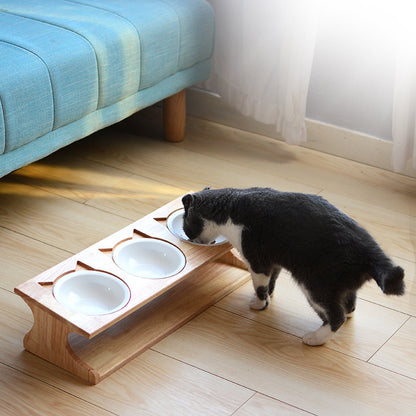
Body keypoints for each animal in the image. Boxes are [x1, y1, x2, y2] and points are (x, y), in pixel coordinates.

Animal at [180, 187, 404, 346]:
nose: (188, 238)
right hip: (340, 284)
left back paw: (315, 338)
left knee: (336, 316)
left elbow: (259, 286)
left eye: (185, 227)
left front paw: (259, 305)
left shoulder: (257, 261)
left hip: (316, 286)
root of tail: (371, 252)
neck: (230, 207)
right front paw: (268, 298)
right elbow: (271, 282)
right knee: (349, 305)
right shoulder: (275, 261)